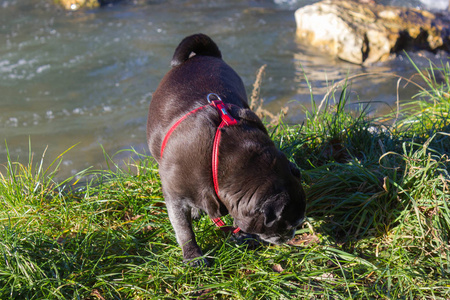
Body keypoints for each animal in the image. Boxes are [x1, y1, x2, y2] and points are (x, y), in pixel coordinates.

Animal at [147, 32, 306, 264]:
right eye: (285, 226)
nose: (291, 236)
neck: (219, 161)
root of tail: (200, 56)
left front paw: (243, 236)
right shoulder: (174, 197)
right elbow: (184, 230)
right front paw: (193, 256)